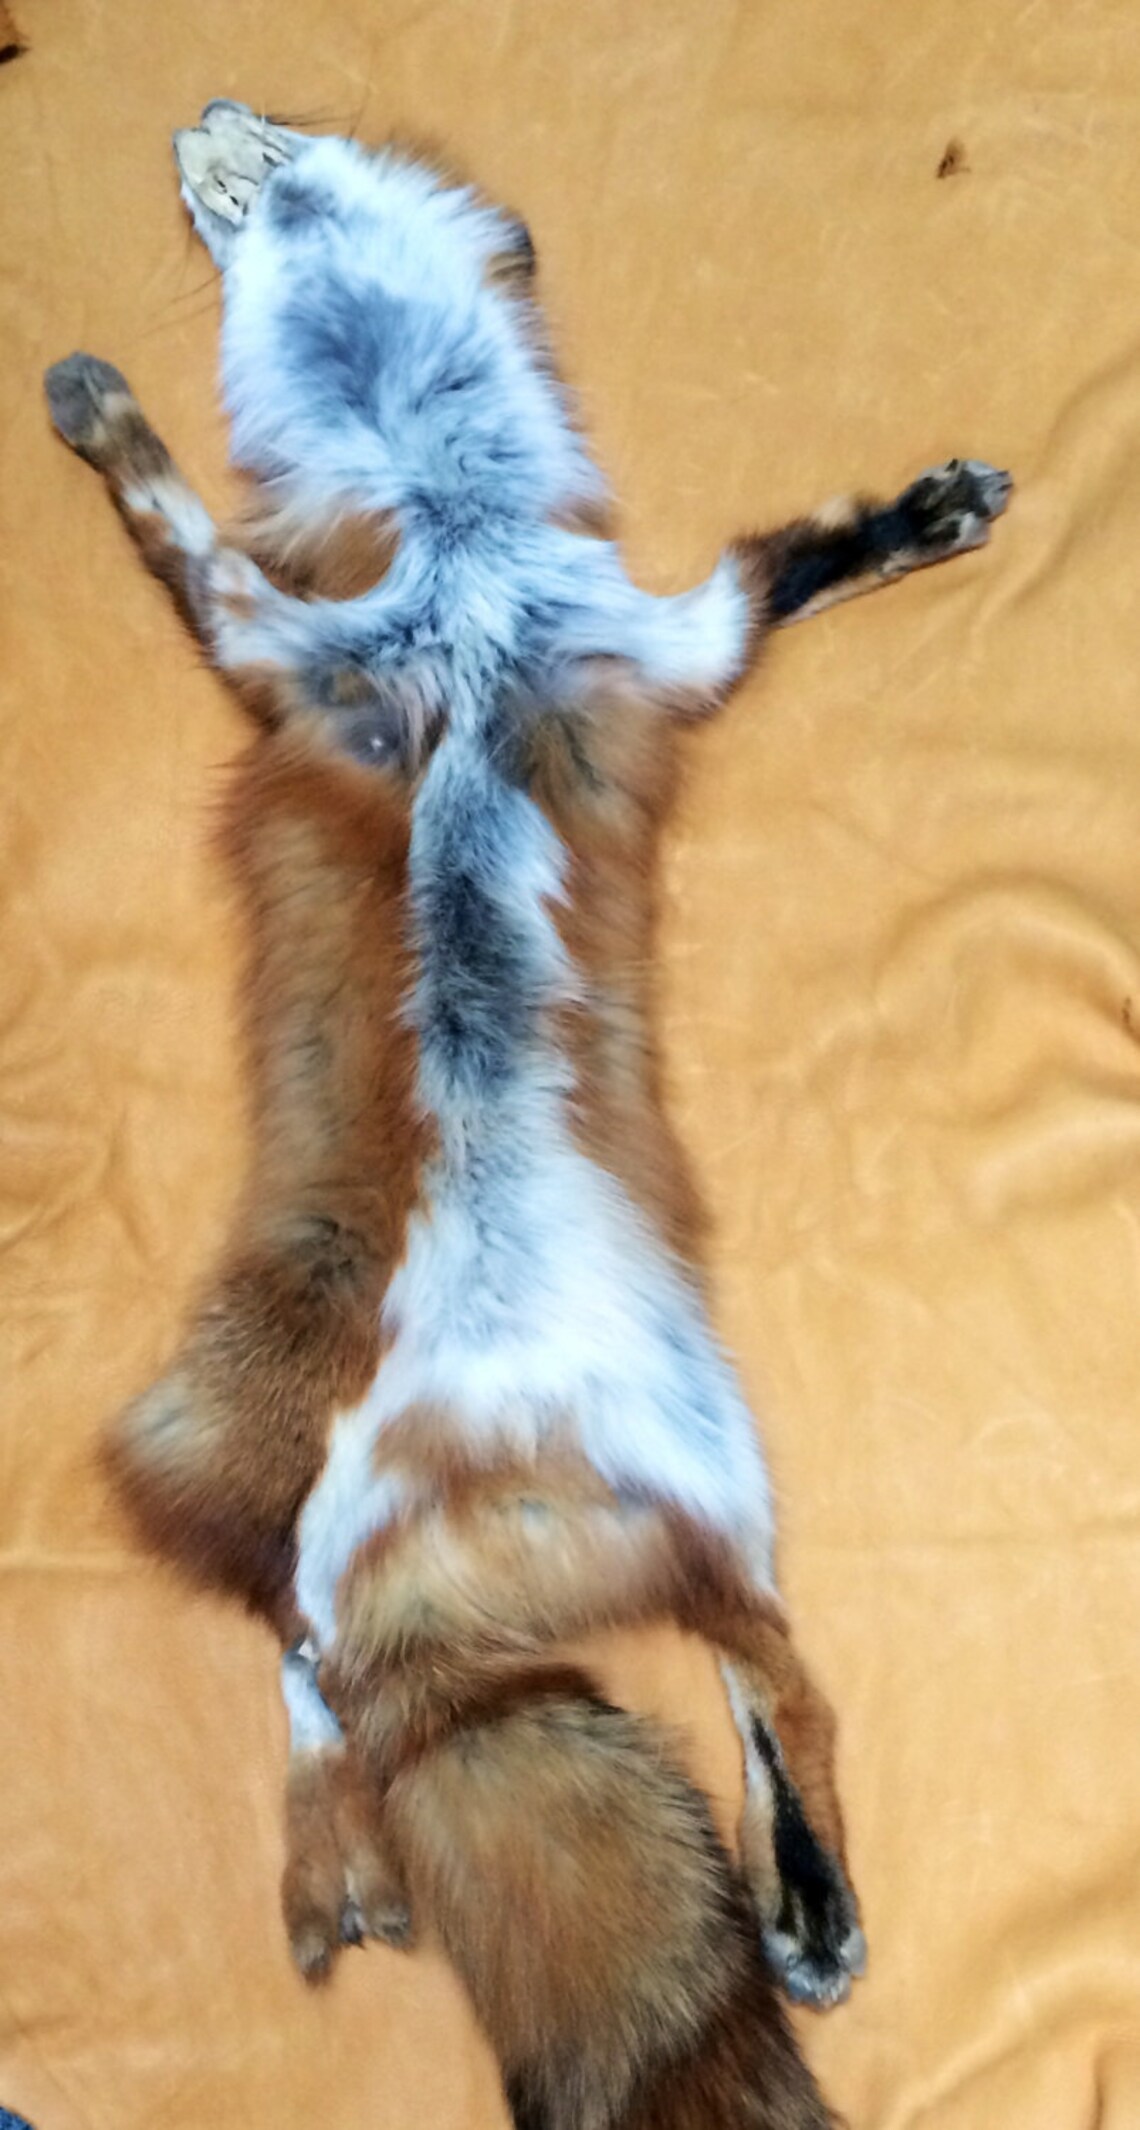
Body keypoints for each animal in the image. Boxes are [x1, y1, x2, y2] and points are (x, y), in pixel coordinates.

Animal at [44, 100, 1011, 2130]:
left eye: (293, 153)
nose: (203, 115)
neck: (464, 562)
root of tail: (524, 1462)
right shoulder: (329, 654)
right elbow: (180, 526)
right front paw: (104, 413)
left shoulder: (646, 636)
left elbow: (788, 563)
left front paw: (925, 518)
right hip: (506, 1508)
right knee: (436, 1685)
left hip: (685, 1481)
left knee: (752, 1675)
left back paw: (793, 1905)